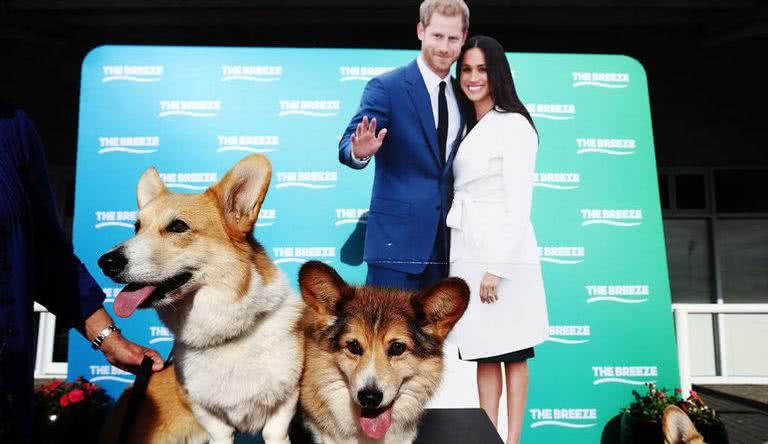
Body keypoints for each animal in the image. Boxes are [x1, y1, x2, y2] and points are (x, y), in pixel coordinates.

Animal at [95, 153, 300, 444]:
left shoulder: (284, 403)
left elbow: (275, 431)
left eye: (178, 226)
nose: (106, 262)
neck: (226, 332)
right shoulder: (208, 415)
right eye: (137, 227)